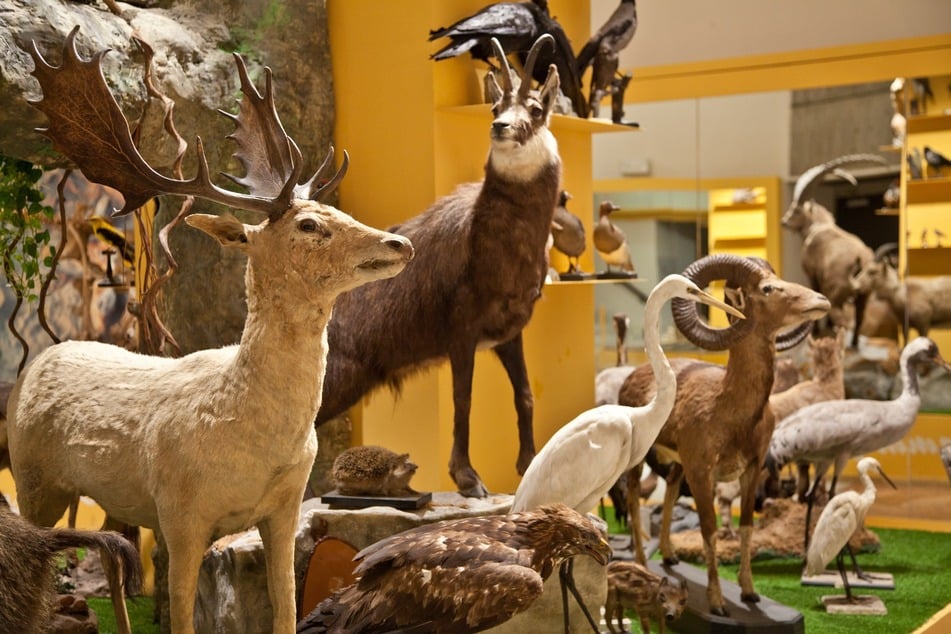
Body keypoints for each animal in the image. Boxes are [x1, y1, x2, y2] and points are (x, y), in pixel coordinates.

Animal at [3, 27, 412, 628]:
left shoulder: (286, 506)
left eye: (335, 211)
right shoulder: (180, 512)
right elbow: (181, 617)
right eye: (310, 225)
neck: (257, 441)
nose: (399, 242)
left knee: (109, 553)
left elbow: (287, 608)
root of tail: (42, 358)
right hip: (31, 477)